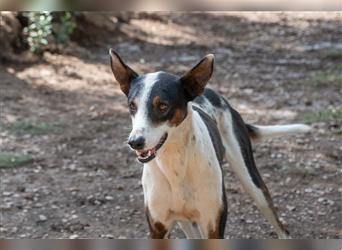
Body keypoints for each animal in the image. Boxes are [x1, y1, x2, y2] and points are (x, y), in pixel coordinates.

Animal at [109, 48, 310, 238]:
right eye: (132, 105)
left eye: (163, 106)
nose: (134, 142)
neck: (175, 164)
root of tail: (211, 92)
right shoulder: (158, 227)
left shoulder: (213, 225)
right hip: (184, 220)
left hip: (253, 184)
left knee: (281, 228)